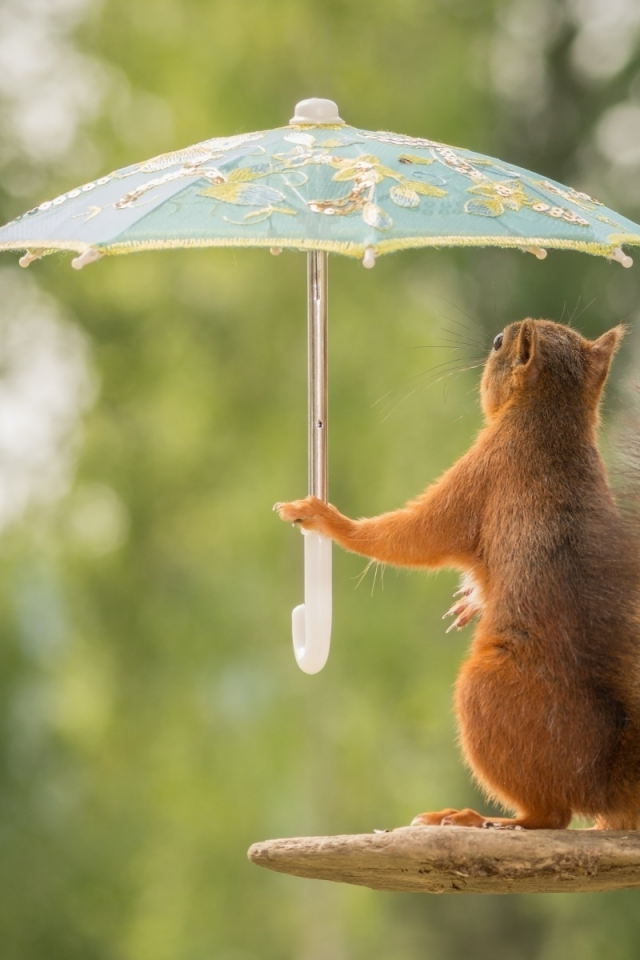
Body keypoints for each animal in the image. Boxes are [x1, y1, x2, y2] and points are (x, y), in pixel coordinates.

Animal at [274, 318, 640, 828]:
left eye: (499, 343)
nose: (490, 341)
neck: (551, 417)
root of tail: (606, 783)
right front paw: (471, 602)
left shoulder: (485, 470)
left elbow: (417, 534)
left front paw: (328, 520)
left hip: (485, 691)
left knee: (552, 816)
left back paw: (479, 818)